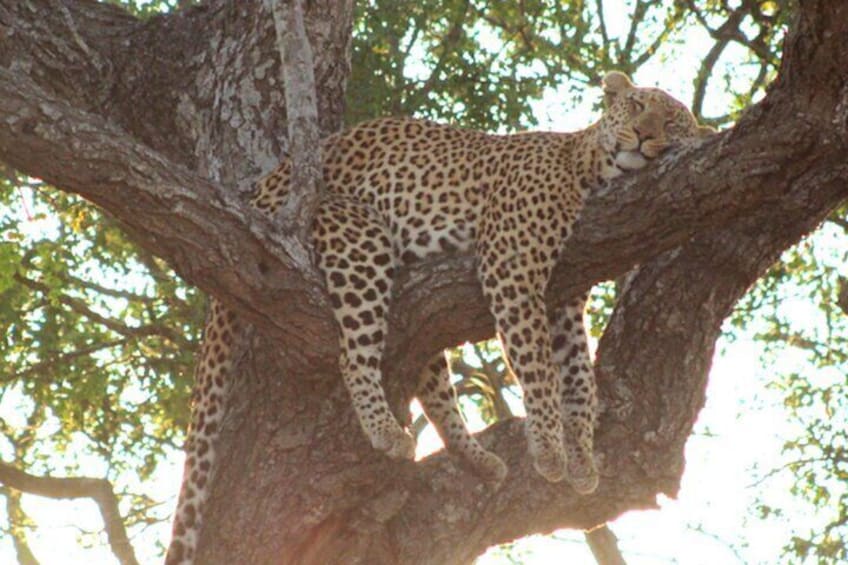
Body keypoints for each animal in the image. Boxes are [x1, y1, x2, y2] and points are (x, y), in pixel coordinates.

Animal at [164, 71, 708, 564]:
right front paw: (550, 452)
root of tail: (267, 185)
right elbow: (539, 372)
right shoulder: (512, 267)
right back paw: (385, 430)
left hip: (418, 303)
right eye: (636, 106)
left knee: (431, 380)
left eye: (672, 121)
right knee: (354, 353)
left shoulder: (565, 301)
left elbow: (578, 380)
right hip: (358, 234)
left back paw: (479, 460)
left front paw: (581, 461)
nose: (645, 135)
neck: (587, 166)